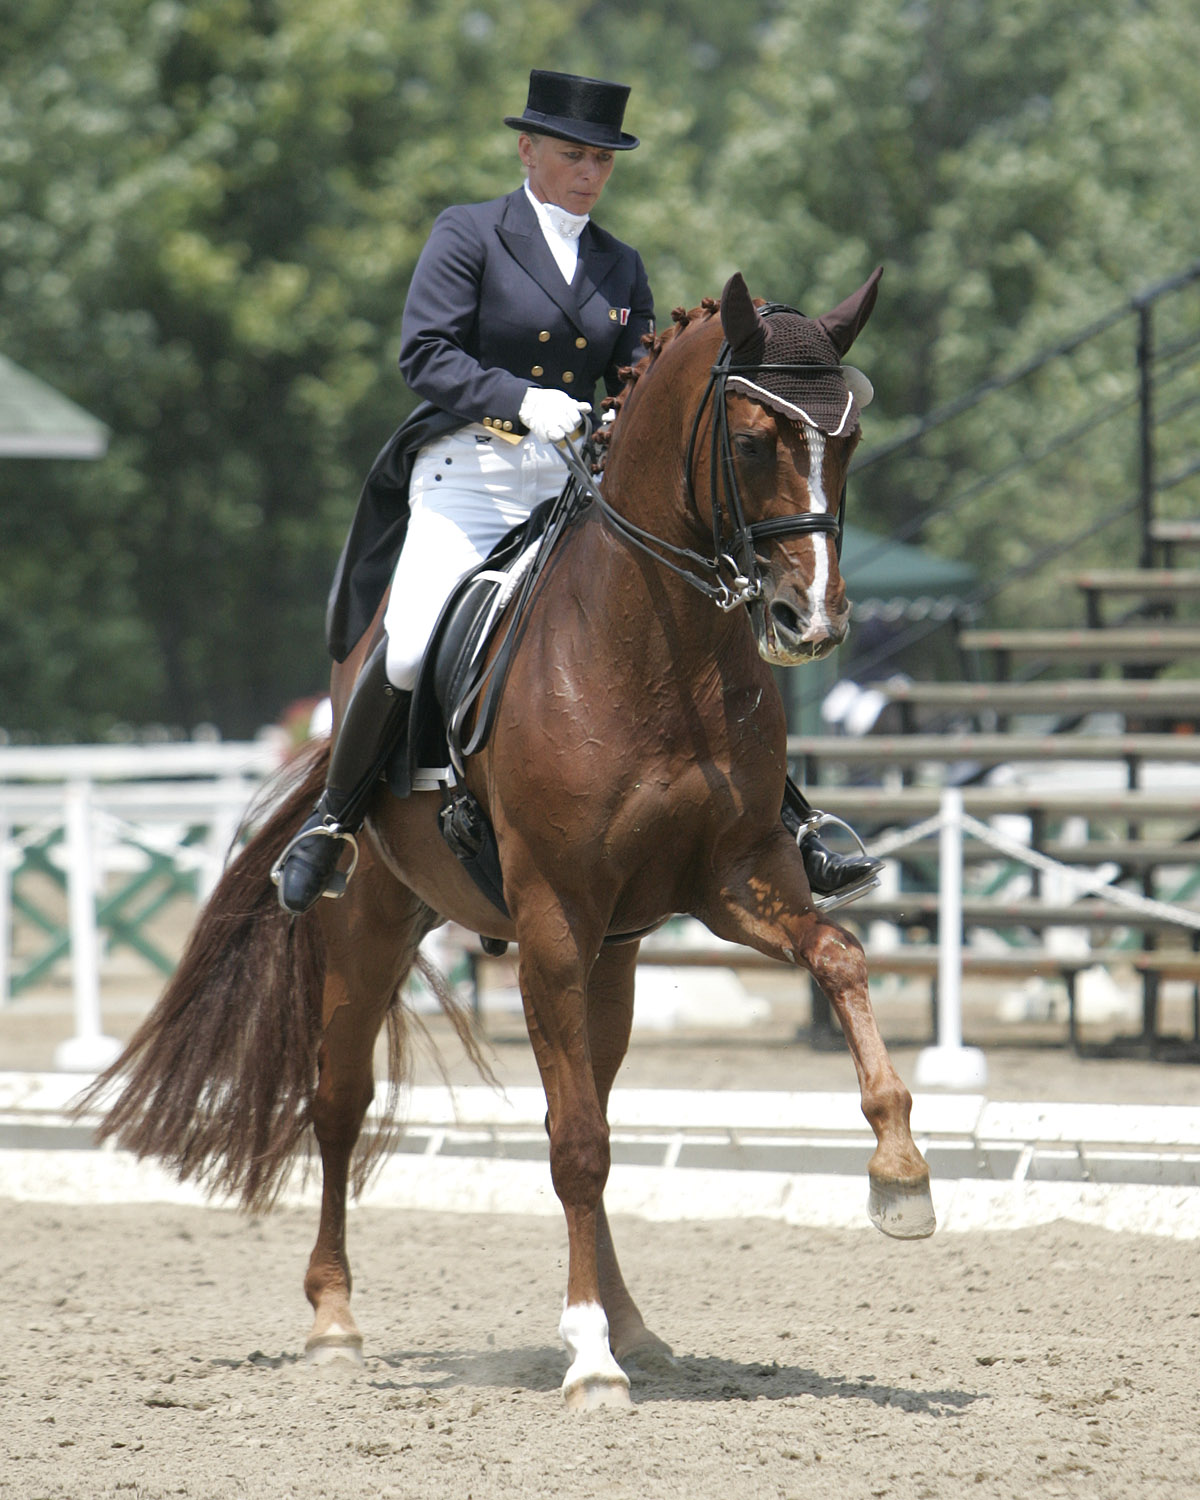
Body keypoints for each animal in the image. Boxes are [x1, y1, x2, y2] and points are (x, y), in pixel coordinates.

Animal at [84, 270, 930, 1404]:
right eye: (754, 441)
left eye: (851, 438)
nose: (815, 622)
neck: (660, 650)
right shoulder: (554, 920)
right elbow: (573, 1146)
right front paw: (588, 1361)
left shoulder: (733, 881)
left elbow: (837, 958)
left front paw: (900, 1177)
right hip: (374, 927)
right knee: (342, 1103)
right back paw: (337, 1321)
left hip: (614, 954)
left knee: (593, 1097)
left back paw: (633, 1322)